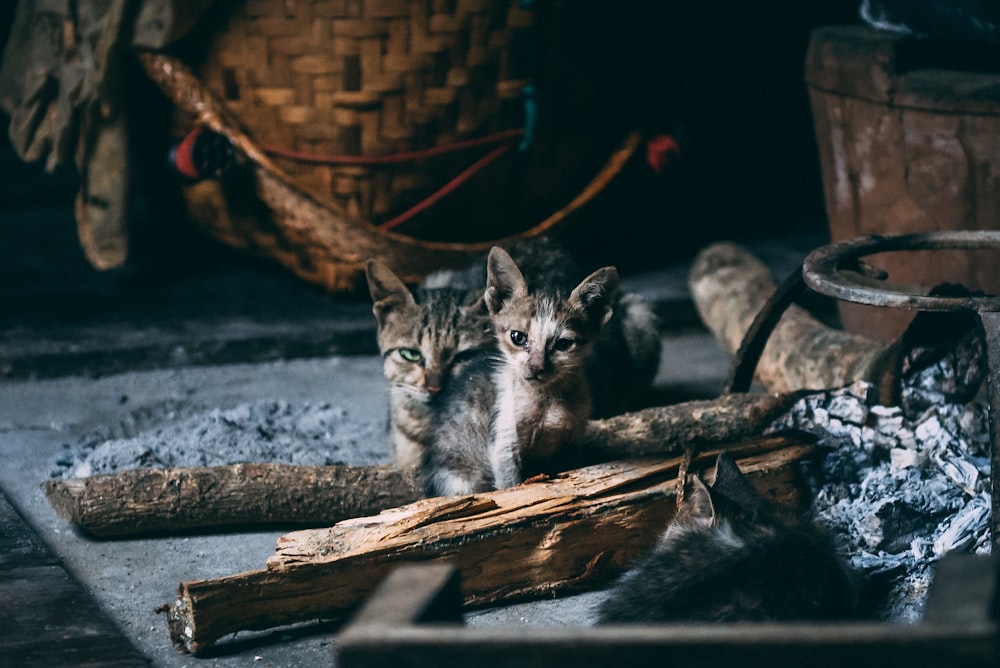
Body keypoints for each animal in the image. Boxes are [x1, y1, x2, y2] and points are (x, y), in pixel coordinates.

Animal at [422, 247, 616, 496]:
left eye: (563, 344)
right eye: (518, 337)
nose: (537, 367)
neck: (547, 398)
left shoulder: (572, 441)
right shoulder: (503, 444)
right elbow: (512, 487)